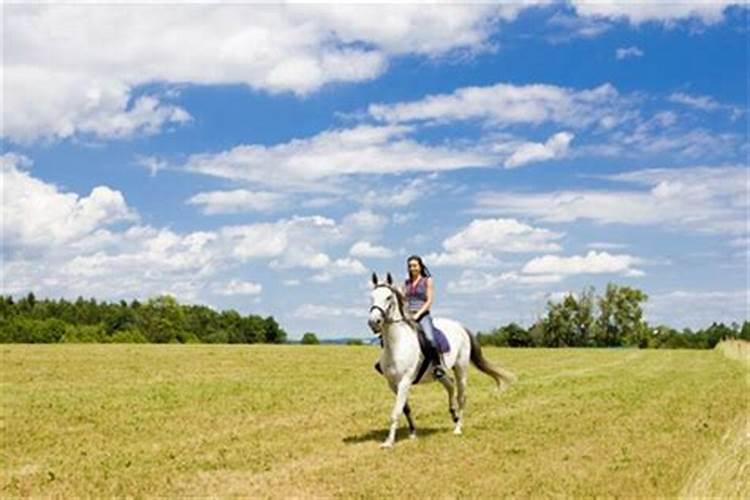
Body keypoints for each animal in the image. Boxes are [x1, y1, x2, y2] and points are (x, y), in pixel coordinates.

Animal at [368, 274, 516, 450]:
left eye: (388, 297)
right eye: (371, 297)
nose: (373, 322)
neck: (397, 344)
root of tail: (460, 326)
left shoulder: (404, 381)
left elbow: (395, 412)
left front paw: (388, 442)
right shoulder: (392, 384)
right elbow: (405, 409)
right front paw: (412, 433)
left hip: (461, 369)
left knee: (461, 396)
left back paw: (458, 428)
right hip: (440, 372)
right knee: (450, 385)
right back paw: (453, 414)